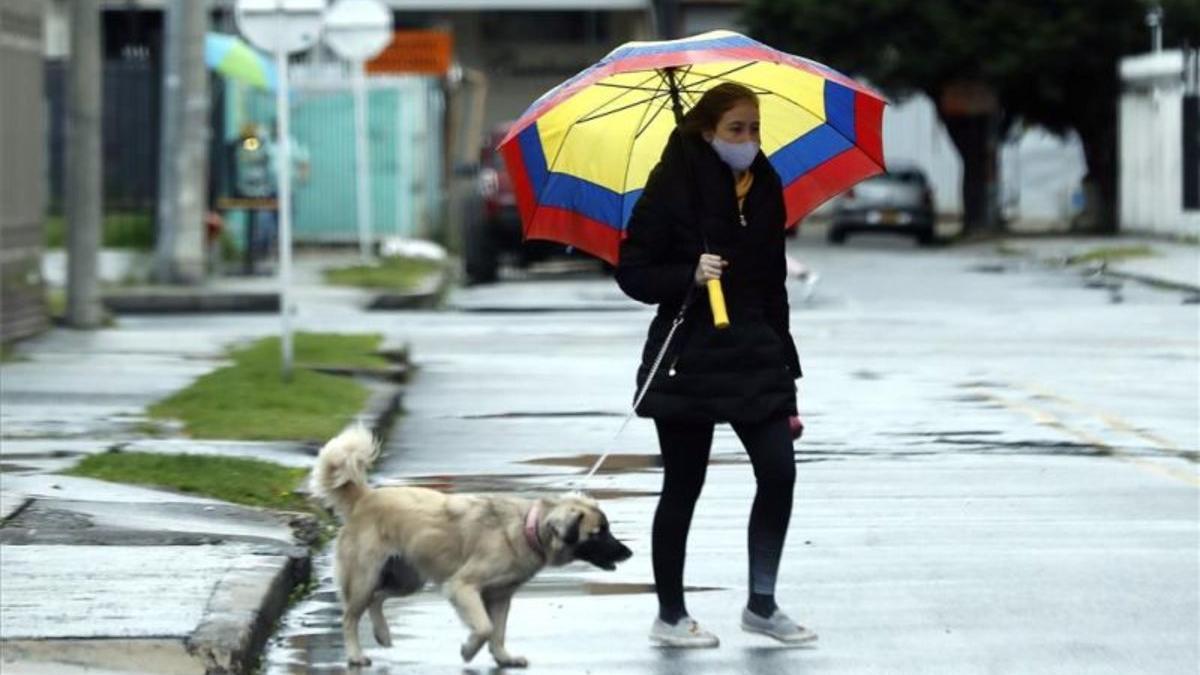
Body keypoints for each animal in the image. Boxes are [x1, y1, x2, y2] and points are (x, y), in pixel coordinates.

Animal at [312, 422, 638, 662]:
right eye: (598, 532)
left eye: (607, 529)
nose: (629, 553)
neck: (525, 529)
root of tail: (365, 497)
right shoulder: (463, 586)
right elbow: (484, 627)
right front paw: (469, 651)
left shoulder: (501, 597)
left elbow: (498, 631)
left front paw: (503, 658)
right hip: (365, 577)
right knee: (349, 617)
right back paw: (355, 655)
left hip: (408, 579)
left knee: (378, 598)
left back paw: (381, 633)